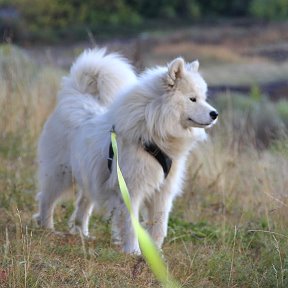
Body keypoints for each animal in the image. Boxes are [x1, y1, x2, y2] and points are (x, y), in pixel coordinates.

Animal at [34, 47, 218, 254]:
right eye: (192, 99)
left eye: (203, 98)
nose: (215, 114)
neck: (154, 131)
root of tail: (75, 95)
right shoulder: (131, 189)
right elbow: (131, 225)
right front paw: (133, 251)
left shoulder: (163, 192)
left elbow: (159, 226)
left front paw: (156, 253)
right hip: (60, 174)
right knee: (46, 199)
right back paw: (47, 228)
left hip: (92, 176)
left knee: (82, 206)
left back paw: (82, 233)